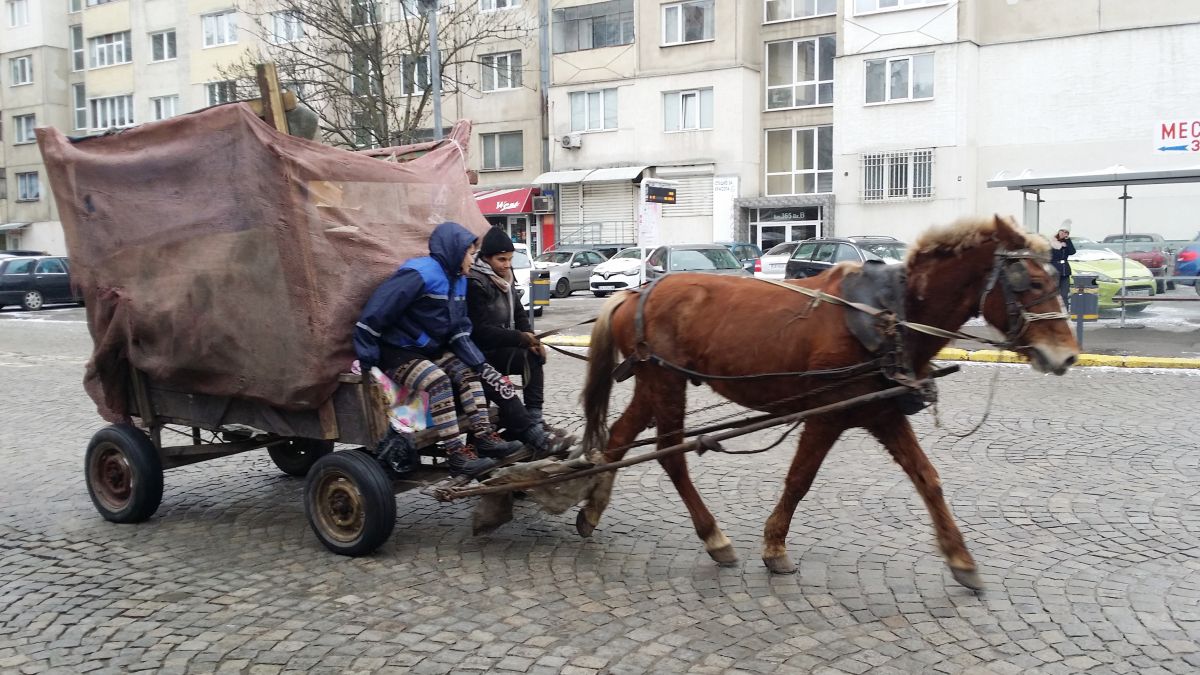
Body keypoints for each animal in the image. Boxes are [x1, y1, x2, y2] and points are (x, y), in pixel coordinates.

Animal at [576, 212, 1084, 586]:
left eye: (1052, 278)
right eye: (1029, 283)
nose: (1067, 355)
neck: (891, 316)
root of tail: (636, 292)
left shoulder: (882, 413)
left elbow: (928, 479)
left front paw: (961, 559)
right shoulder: (828, 416)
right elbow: (800, 479)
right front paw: (775, 546)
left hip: (654, 382)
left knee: (619, 438)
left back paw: (593, 510)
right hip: (666, 381)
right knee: (669, 453)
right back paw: (713, 537)